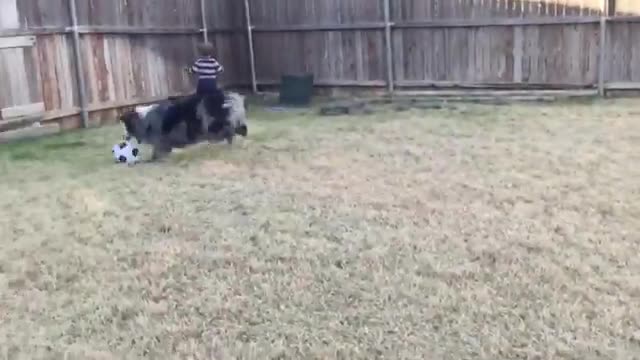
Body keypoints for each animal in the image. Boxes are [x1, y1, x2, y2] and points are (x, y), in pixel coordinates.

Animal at [119, 91, 249, 160]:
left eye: (126, 126)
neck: (143, 120)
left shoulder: (160, 141)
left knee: (236, 130)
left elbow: (157, 153)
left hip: (215, 127)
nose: (124, 137)